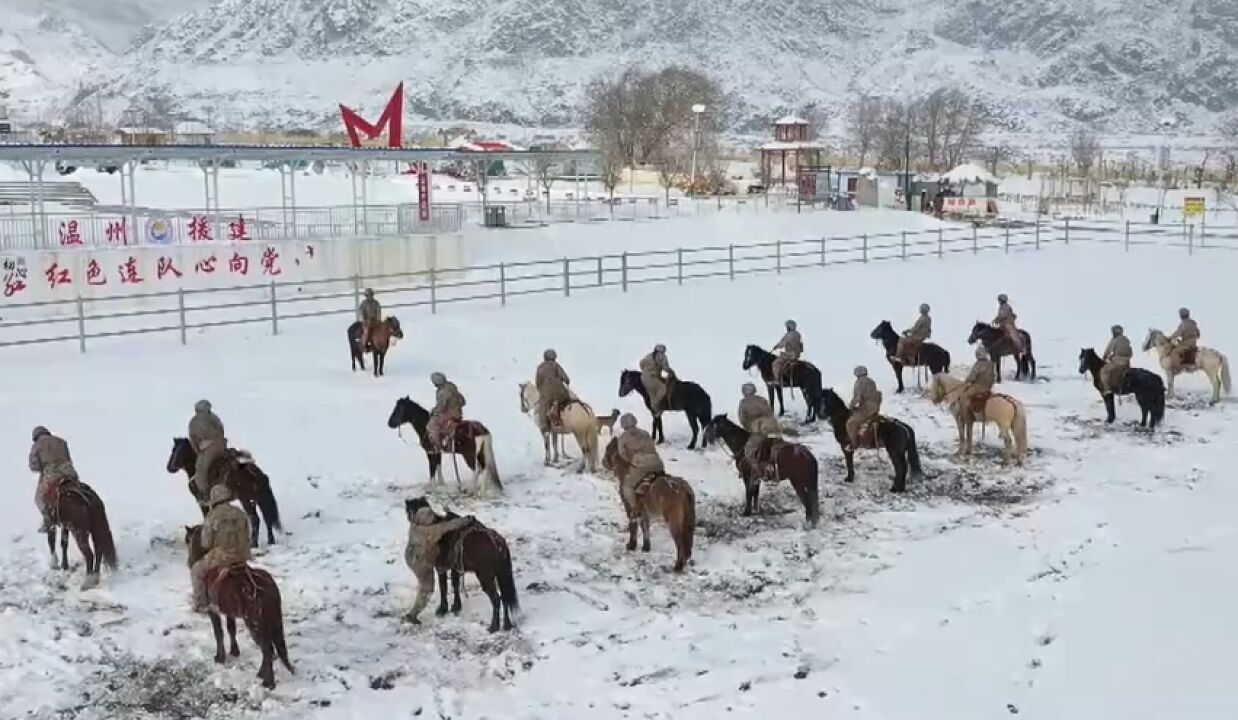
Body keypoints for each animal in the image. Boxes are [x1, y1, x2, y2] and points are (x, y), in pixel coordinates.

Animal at [183, 527, 294, 692]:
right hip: (273, 620)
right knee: (273, 648)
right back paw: (263, 674)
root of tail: (267, 590)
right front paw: (234, 651)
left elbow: (219, 633)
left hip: (255, 623)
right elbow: (231, 629)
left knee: (267, 650)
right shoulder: (229, 612)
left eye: (187, 539)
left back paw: (268, 682)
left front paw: (220, 657)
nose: (188, 561)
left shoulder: (212, 610)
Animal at [406, 499, 522, 633]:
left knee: (496, 600)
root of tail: (498, 543)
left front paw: (442, 609)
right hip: (501, 575)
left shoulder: (441, 568)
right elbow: (455, 585)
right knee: (505, 598)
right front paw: (456, 607)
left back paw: (493, 627)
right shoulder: (455, 567)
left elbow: (444, 587)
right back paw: (507, 625)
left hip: (486, 578)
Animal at [606, 437, 703, 574]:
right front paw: (646, 547)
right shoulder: (644, 512)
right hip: (688, 520)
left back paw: (677, 566)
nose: (604, 462)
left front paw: (631, 545)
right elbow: (645, 527)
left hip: (673, 522)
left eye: (608, 449)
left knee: (680, 544)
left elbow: (633, 526)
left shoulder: (630, 508)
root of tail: (683, 489)